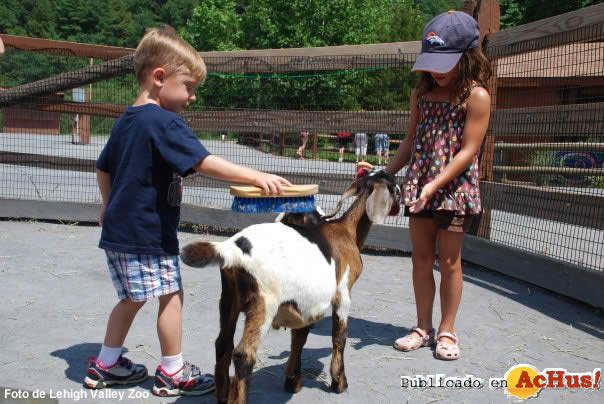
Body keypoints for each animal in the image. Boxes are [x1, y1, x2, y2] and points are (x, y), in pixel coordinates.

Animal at [179, 171, 402, 404]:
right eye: (395, 184)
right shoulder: (343, 293)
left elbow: (299, 339)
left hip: (228, 298)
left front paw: (293, 381)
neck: (346, 231)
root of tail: (232, 249)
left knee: (223, 344)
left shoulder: (306, 304)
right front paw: (339, 382)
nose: (404, 197)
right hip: (264, 302)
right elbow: (339, 337)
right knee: (243, 354)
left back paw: (222, 396)